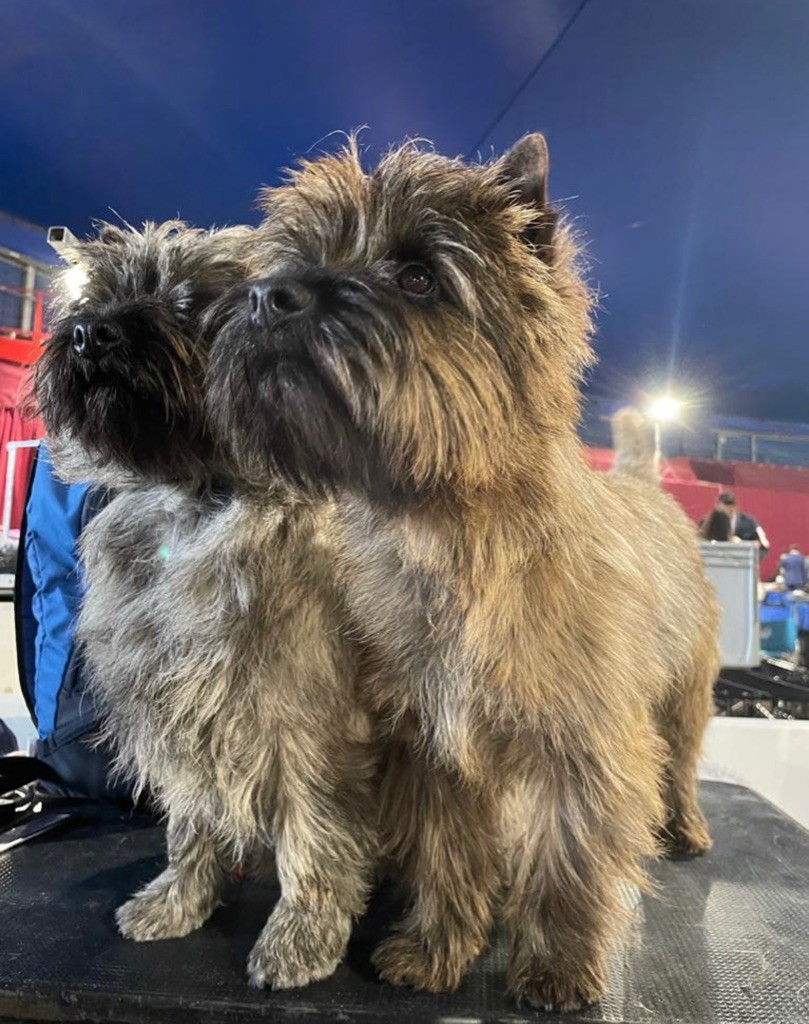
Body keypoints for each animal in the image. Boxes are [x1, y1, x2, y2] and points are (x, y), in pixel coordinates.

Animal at [205, 134, 720, 1007]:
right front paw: (436, 948)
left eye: (418, 275)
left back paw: (683, 826)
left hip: (684, 694)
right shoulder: (433, 750)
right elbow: (447, 854)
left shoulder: (578, 746)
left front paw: (555, 967)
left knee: (679, 765)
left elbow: (567, 860)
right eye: (299, 254)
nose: (270, 296)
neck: (451, 535)